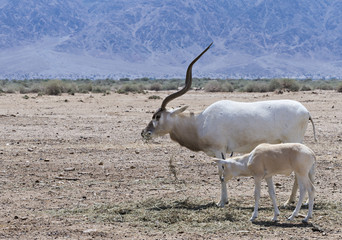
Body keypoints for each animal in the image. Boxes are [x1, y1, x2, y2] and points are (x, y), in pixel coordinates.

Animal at [140, 42, 316, 206]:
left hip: (292, 141)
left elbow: (221, 174)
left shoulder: (219, 150)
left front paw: (222, 201)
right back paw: (298, 201)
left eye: (157, 116)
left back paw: (291, 201)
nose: (144, 132)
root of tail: (306, 112)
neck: (200, 122)